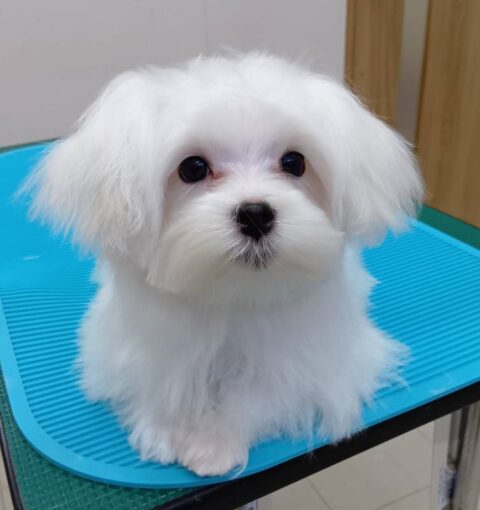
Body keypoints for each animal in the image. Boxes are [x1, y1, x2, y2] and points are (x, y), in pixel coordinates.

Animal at [24, 53, 423, 476]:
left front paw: (213, 443)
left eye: (294, 162)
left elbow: (260, 393)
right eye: (193, 168)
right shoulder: (138, 338)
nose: (255, 214)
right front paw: (161, 427)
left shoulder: (315, 361)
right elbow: (160, 374)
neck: (232, 294)